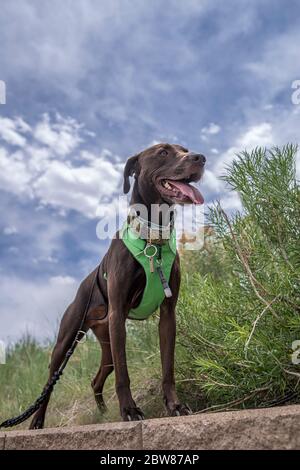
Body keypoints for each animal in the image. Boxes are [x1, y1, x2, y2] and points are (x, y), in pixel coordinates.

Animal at [29, 141, 205, 428]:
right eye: (163, 152)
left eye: (185, 149)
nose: (200, 158)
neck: (153, 239)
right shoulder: (118, 315)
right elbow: (124, 374)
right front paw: (129, 410)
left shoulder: (168, 315)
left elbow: (168, 367)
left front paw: (174, 405)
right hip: (67, 341)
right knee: (49, 384)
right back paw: (37, 421)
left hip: (107, 340)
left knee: (97, 378)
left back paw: (101, 412)